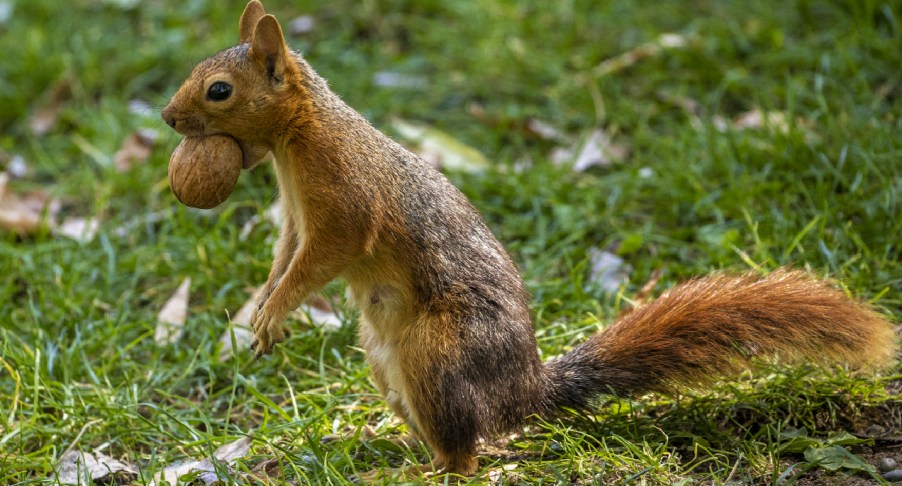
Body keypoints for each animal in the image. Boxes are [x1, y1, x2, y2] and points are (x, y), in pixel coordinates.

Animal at [161, 0, 896, 476]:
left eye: (219, 90)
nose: (168, 116)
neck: (298, 137)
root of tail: (522, 391)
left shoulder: (344, 200)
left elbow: (322, 257)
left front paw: (275, 312)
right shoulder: (293, 215)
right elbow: (286, 256)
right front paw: (263, 305)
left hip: (439, 352)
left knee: (465, 452)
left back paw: (419, 468)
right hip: (386, 359)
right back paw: (394, 447)